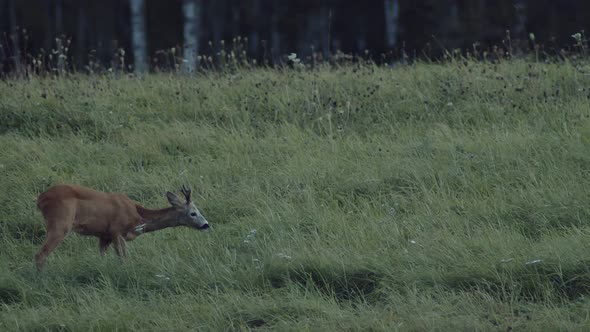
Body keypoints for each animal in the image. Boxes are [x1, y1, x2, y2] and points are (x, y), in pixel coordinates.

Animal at [34, 183, 210, 272]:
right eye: (193, 213)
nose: (206, 224)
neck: (138, 217)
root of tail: (41, 199)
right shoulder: (117, 231)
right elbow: (124, 259)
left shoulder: (104, 236)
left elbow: (102, 258)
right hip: (60, 223)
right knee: (40, 254)